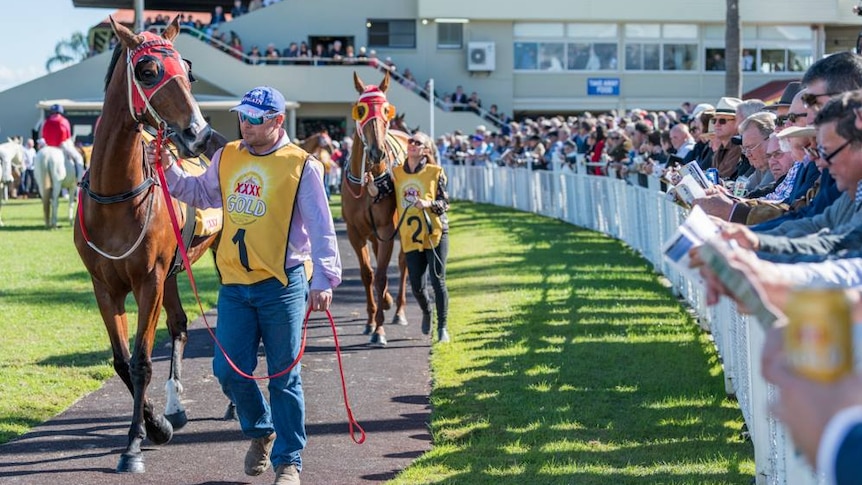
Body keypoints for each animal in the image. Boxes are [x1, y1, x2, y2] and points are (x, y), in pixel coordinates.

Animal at [72, 17, 218, 470]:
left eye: (188, 72)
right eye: (149, 71)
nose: (199, 134)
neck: (115, 197)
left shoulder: (148, 280)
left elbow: (140, 362)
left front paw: (135, 443)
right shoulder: (105, 286)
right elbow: (121, 361)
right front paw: (158, 424)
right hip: (172, 273)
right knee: (180, 325)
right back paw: (175, 407)